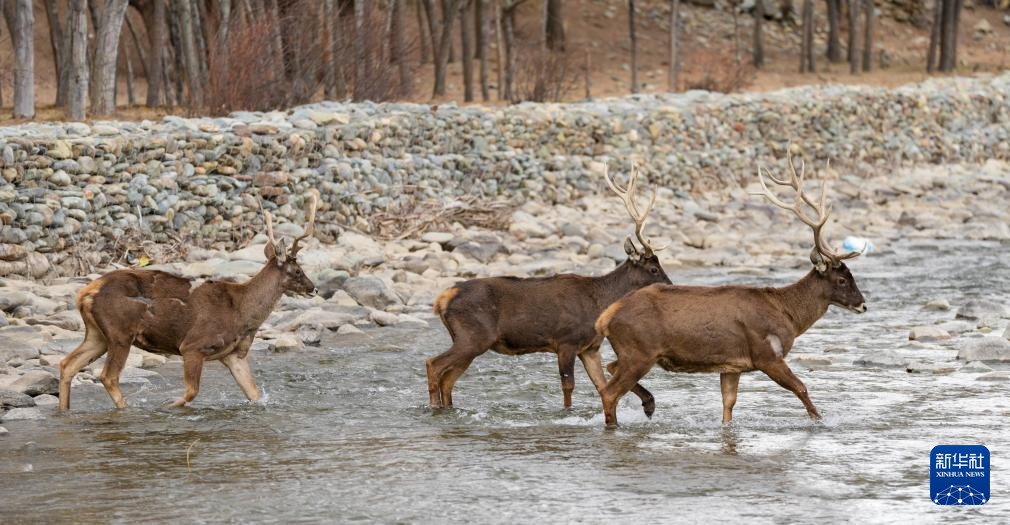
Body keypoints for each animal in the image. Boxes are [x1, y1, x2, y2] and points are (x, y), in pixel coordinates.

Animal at [58, 194, 319, 411]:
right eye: (297, 270)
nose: (314, 288)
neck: (242, 312)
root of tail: (85, 293)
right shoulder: (193, 345)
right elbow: (191, 392)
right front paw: (167, 404)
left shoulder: (233, 354)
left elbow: (253, 393)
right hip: (120, 332)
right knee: (108, 376)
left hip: (98, 335)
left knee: (67, 364)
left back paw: (65, 411)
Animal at [427, 165, 671, 411]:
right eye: (653, 268)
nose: (671, 285)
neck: (599, 303)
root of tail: (442, 298)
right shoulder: (566, 341)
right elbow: (568, 386)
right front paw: (566, 412)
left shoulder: (590, 348)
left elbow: (601, 385)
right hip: (473, 336)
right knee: (433, 364)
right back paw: (434, 407)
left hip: (468, 339)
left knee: (448, 379)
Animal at [594, 158, 867, 428]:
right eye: (842, 279)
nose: (863, 304)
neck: (788, 315)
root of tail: (605, 318)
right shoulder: (766, 354)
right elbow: (801, 388)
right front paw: (820, 421)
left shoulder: (732, 366)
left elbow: (728, 405)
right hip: (639, 351)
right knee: (609, 391)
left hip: (633, 353)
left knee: (610, 368)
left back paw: (647, 405)